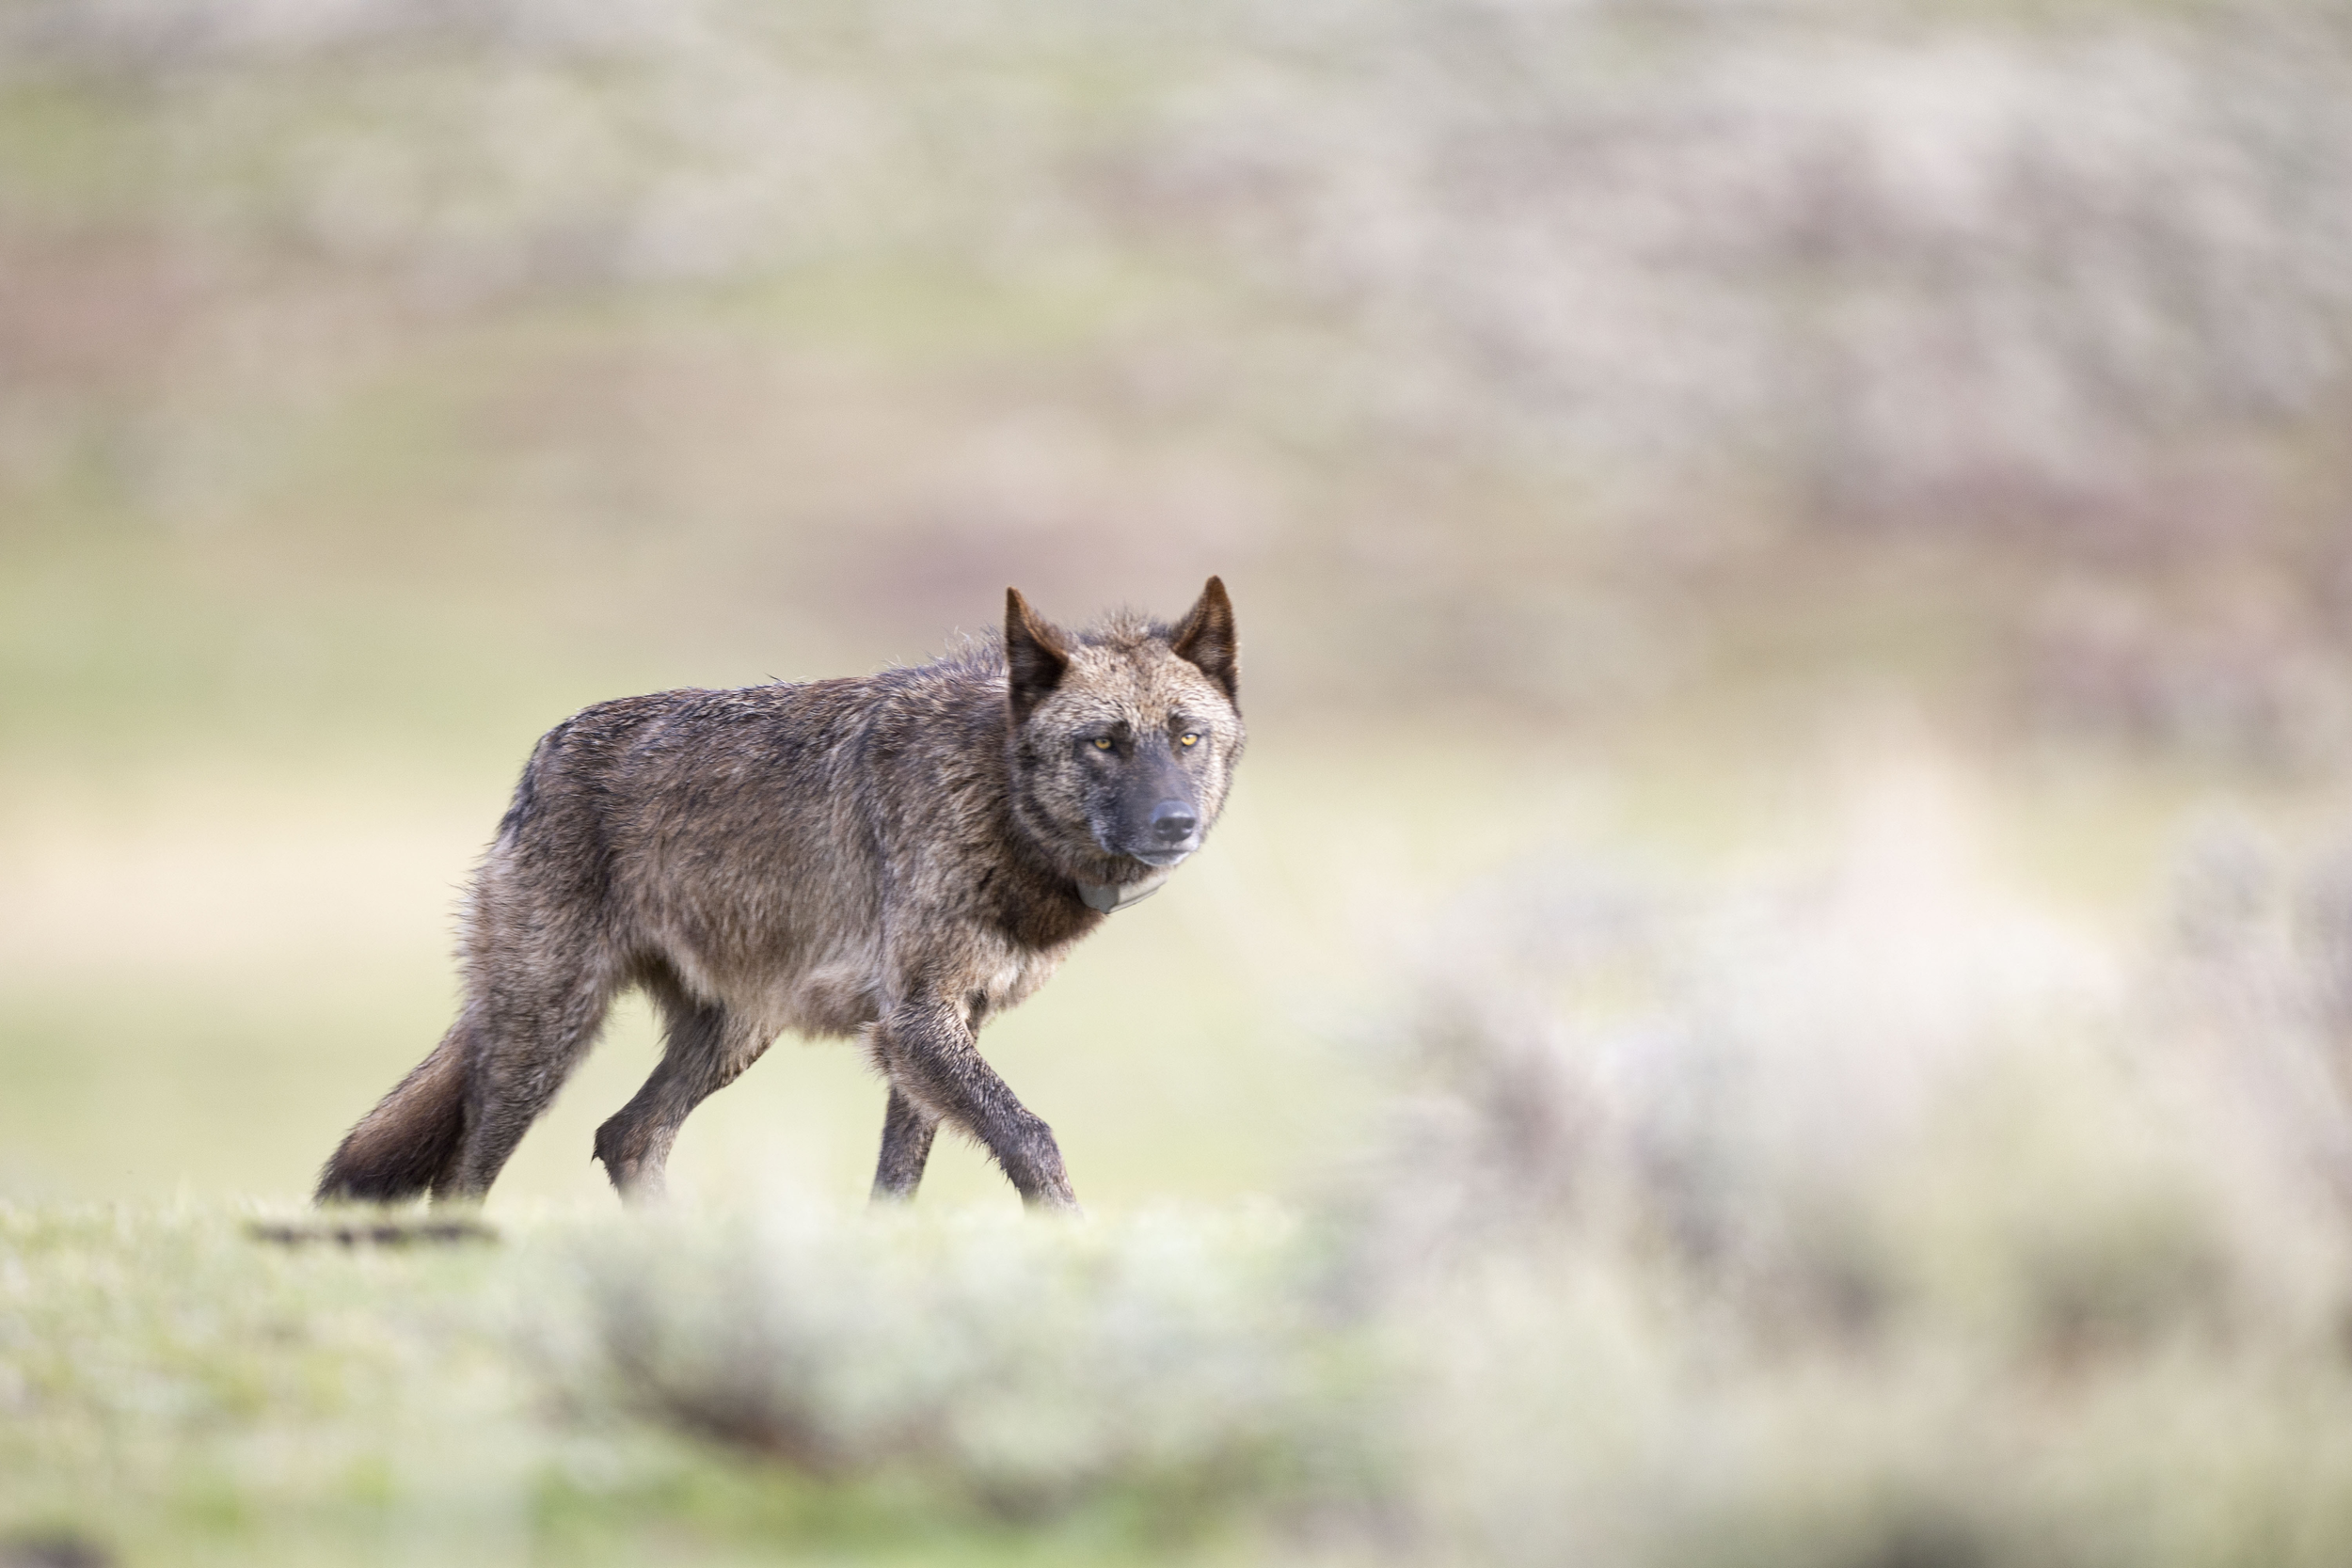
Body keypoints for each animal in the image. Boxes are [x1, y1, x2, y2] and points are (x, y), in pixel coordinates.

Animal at [316, 579, 1242, 1211]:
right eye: (1104, 743)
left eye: (1187, 738)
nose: (1177, 822)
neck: (993, 794)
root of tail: (540, 758)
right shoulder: (917, 1022)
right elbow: (1033, 1138)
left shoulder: (936, 1027)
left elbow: (899, 1177)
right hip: (546, 1035)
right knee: (467, 1172)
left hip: (733, 1032)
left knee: (627, 1135)